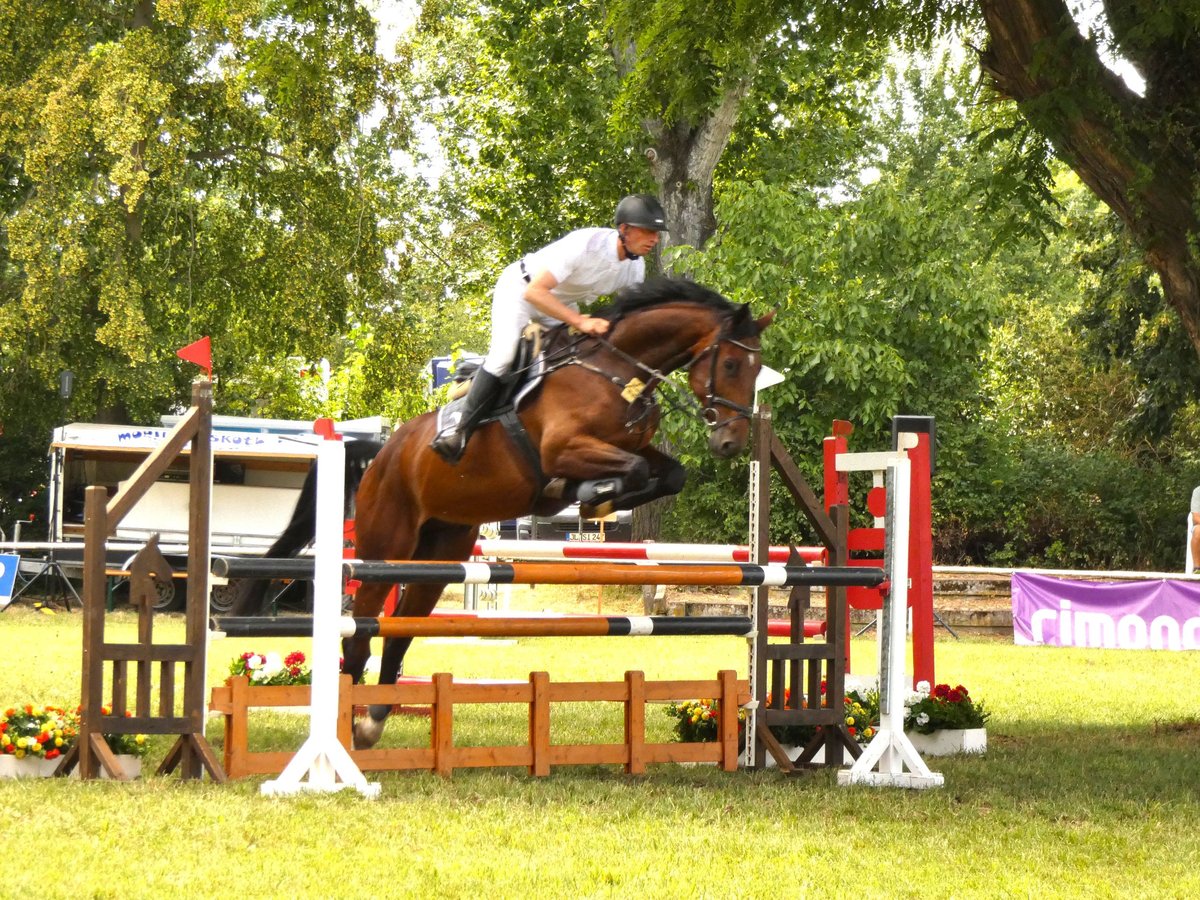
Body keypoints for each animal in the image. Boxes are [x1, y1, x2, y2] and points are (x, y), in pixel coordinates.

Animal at [234, 277, 774, 748]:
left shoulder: (633, 449)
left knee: (401, 631)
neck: (616, 372)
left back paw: (375, 719)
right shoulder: (565, 448)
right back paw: (350, 723)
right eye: (730, 364)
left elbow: (666, 473)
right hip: (386, 546)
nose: (731, 442)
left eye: (756, 370)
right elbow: (634, 469)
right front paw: (596, 491)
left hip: (439, 552)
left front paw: (599, 497)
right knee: (362, 630)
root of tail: (380, 453)